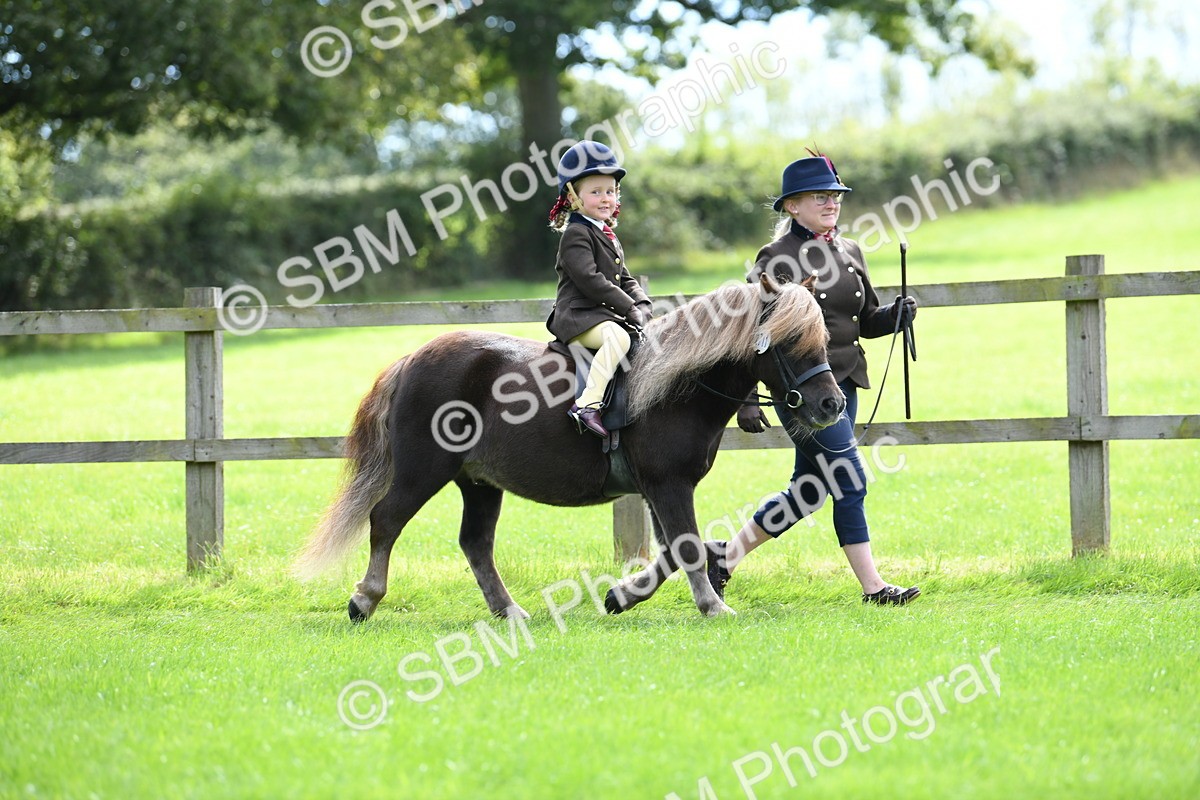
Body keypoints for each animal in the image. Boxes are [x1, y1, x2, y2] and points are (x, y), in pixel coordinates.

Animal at [295, 274, 845, 619]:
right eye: (788, 341)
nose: (832, 404)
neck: (676, 385)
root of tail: (412, 359)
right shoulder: (668, 485)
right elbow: (686, 546)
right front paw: (713, 606)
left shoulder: (656, 488)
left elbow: (671, 552)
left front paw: (622, 596)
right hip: (422, 472)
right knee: (386, 520)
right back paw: (365, 599)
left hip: (478, 483)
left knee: (475, 544)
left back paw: (508, 610)